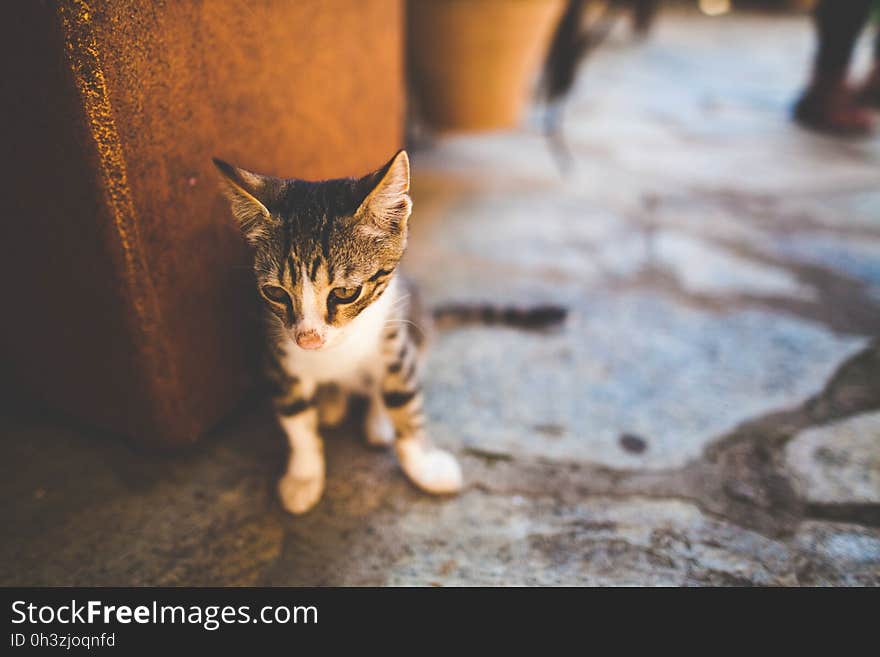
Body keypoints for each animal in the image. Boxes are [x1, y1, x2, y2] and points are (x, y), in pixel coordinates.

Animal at [215, 151, 460, 516]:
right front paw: (304, 477)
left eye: (345, 293)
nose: (308, 339)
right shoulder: (278, 356)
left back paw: (377, 420)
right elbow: (296, 419)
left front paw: (424, 465)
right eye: (275, 293)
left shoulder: (394, 336)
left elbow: (404, 399)